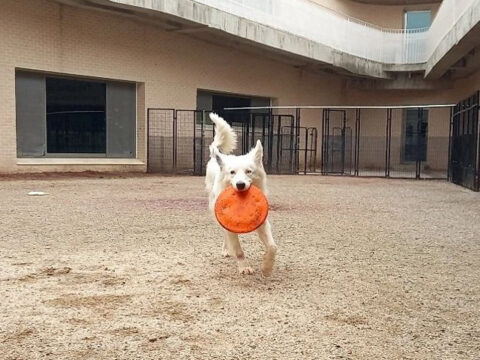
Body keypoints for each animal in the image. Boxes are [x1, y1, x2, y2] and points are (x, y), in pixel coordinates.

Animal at [204, 112, 276, 276]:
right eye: (232, 172)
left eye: (249, 171)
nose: (240, 185)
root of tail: (216, 157)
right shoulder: (228, 225)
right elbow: (238, 249)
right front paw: (244, 267)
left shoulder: (263, 223)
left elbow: (272, 247)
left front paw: (267, 267)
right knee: (225, 235)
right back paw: (226, 250)